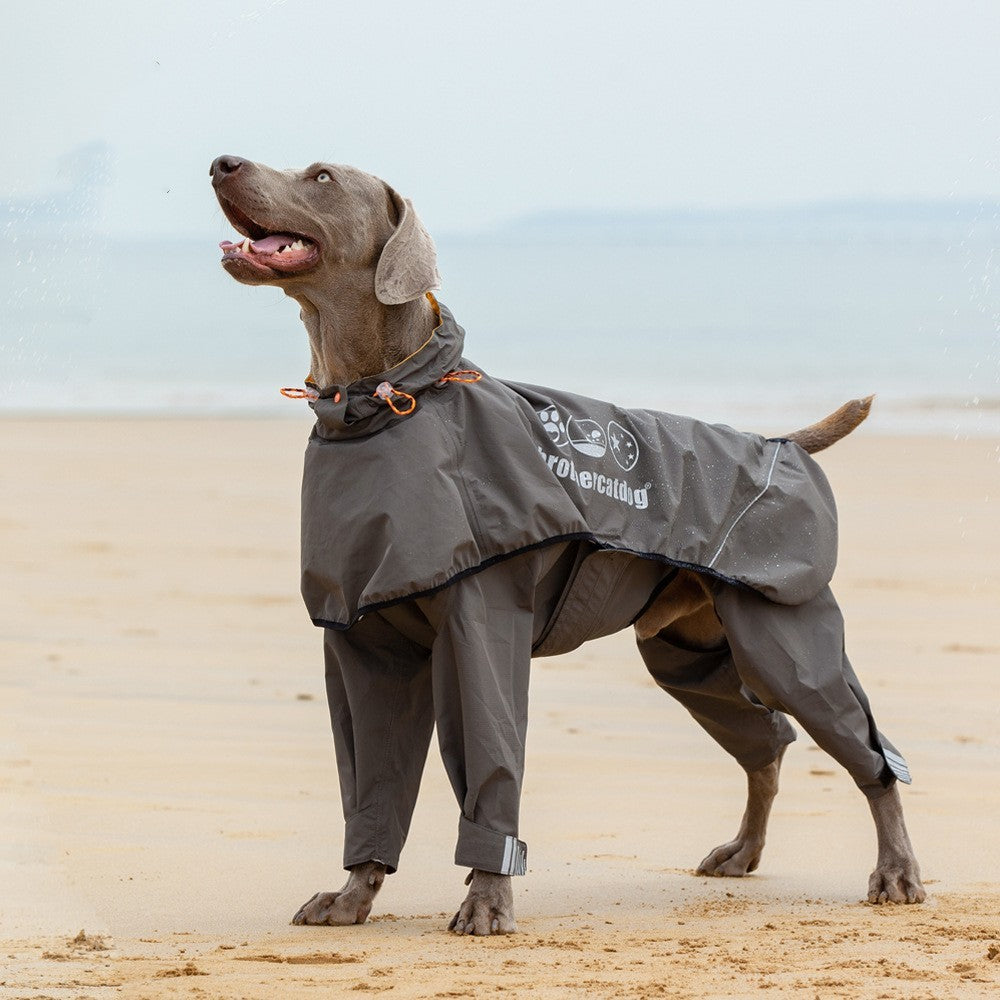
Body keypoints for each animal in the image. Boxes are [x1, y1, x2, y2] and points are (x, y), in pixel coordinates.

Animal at [209, 152, 920, 932]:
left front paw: (487, 901)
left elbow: (490, 764)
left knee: (870, 755)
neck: (383, 405)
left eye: (322, 177)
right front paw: (352, 896)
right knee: (765, 746)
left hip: (787, 642)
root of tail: (777, 444)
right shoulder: (362, 641)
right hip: (691, 651)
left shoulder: (479, 628)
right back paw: (743, 852)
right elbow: (370, 781)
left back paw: (896, 871)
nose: (221, 162)